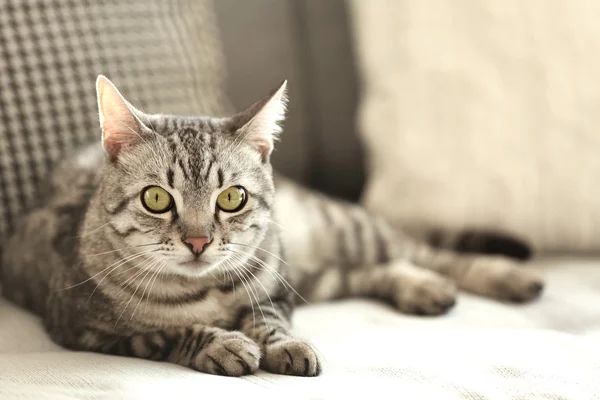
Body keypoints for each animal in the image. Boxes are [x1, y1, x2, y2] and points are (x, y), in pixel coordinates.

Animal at [0, 76, 544, 378]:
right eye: (156, 199)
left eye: (231, 198)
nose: (198, 241)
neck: (205, 293)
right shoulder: (84, 330)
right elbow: (167, 334)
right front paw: (221, 343)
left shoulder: (276, 292)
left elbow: (268, 320)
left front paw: (284, 346)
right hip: (313, 270)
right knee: (371, 271)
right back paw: (426, 289)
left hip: (337, 231)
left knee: (420, 251)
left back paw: (507, 276)